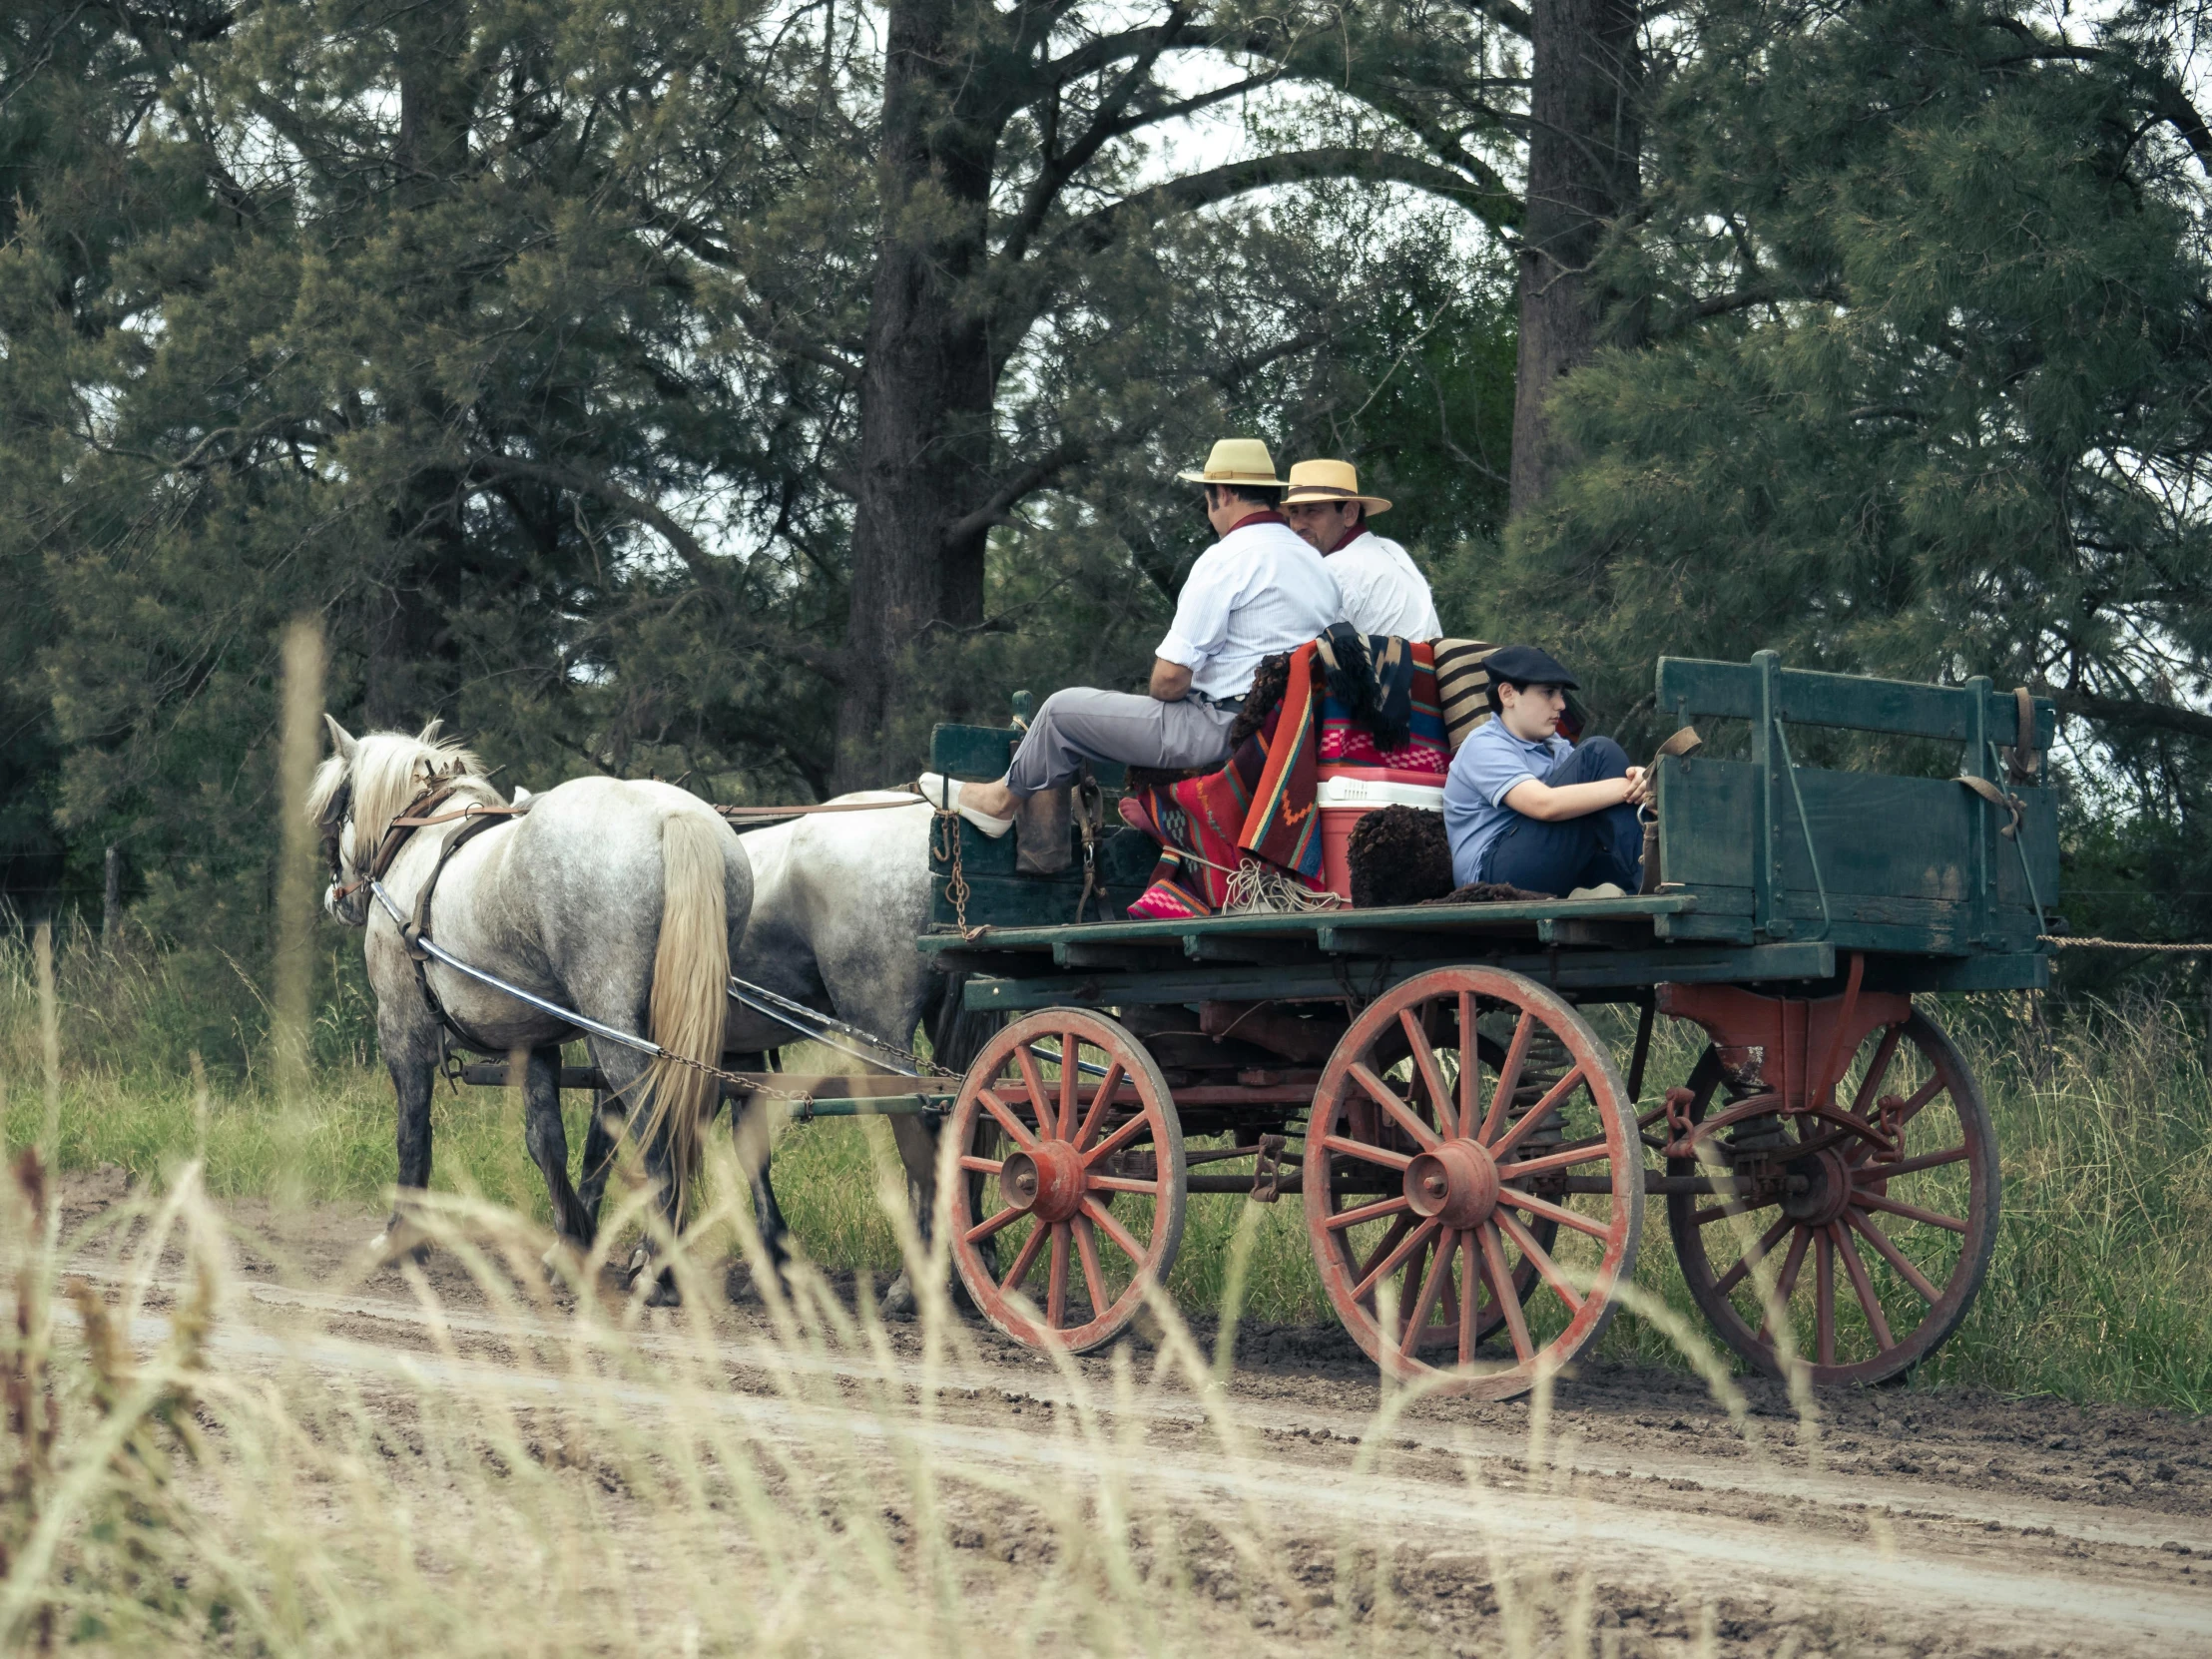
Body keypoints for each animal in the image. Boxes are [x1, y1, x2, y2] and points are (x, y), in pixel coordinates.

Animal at [309, 712, 752, 1301]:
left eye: (339, 808)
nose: (338, 896)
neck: (420, 840)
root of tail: (676, 816)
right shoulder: (533, 1041)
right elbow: (547, 1143)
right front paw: (571, 1243)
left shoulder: (402, 1026)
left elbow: (413, 1132)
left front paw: (402, 1239)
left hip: (616, 1033)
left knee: (654, 1136)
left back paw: (657, 1271)